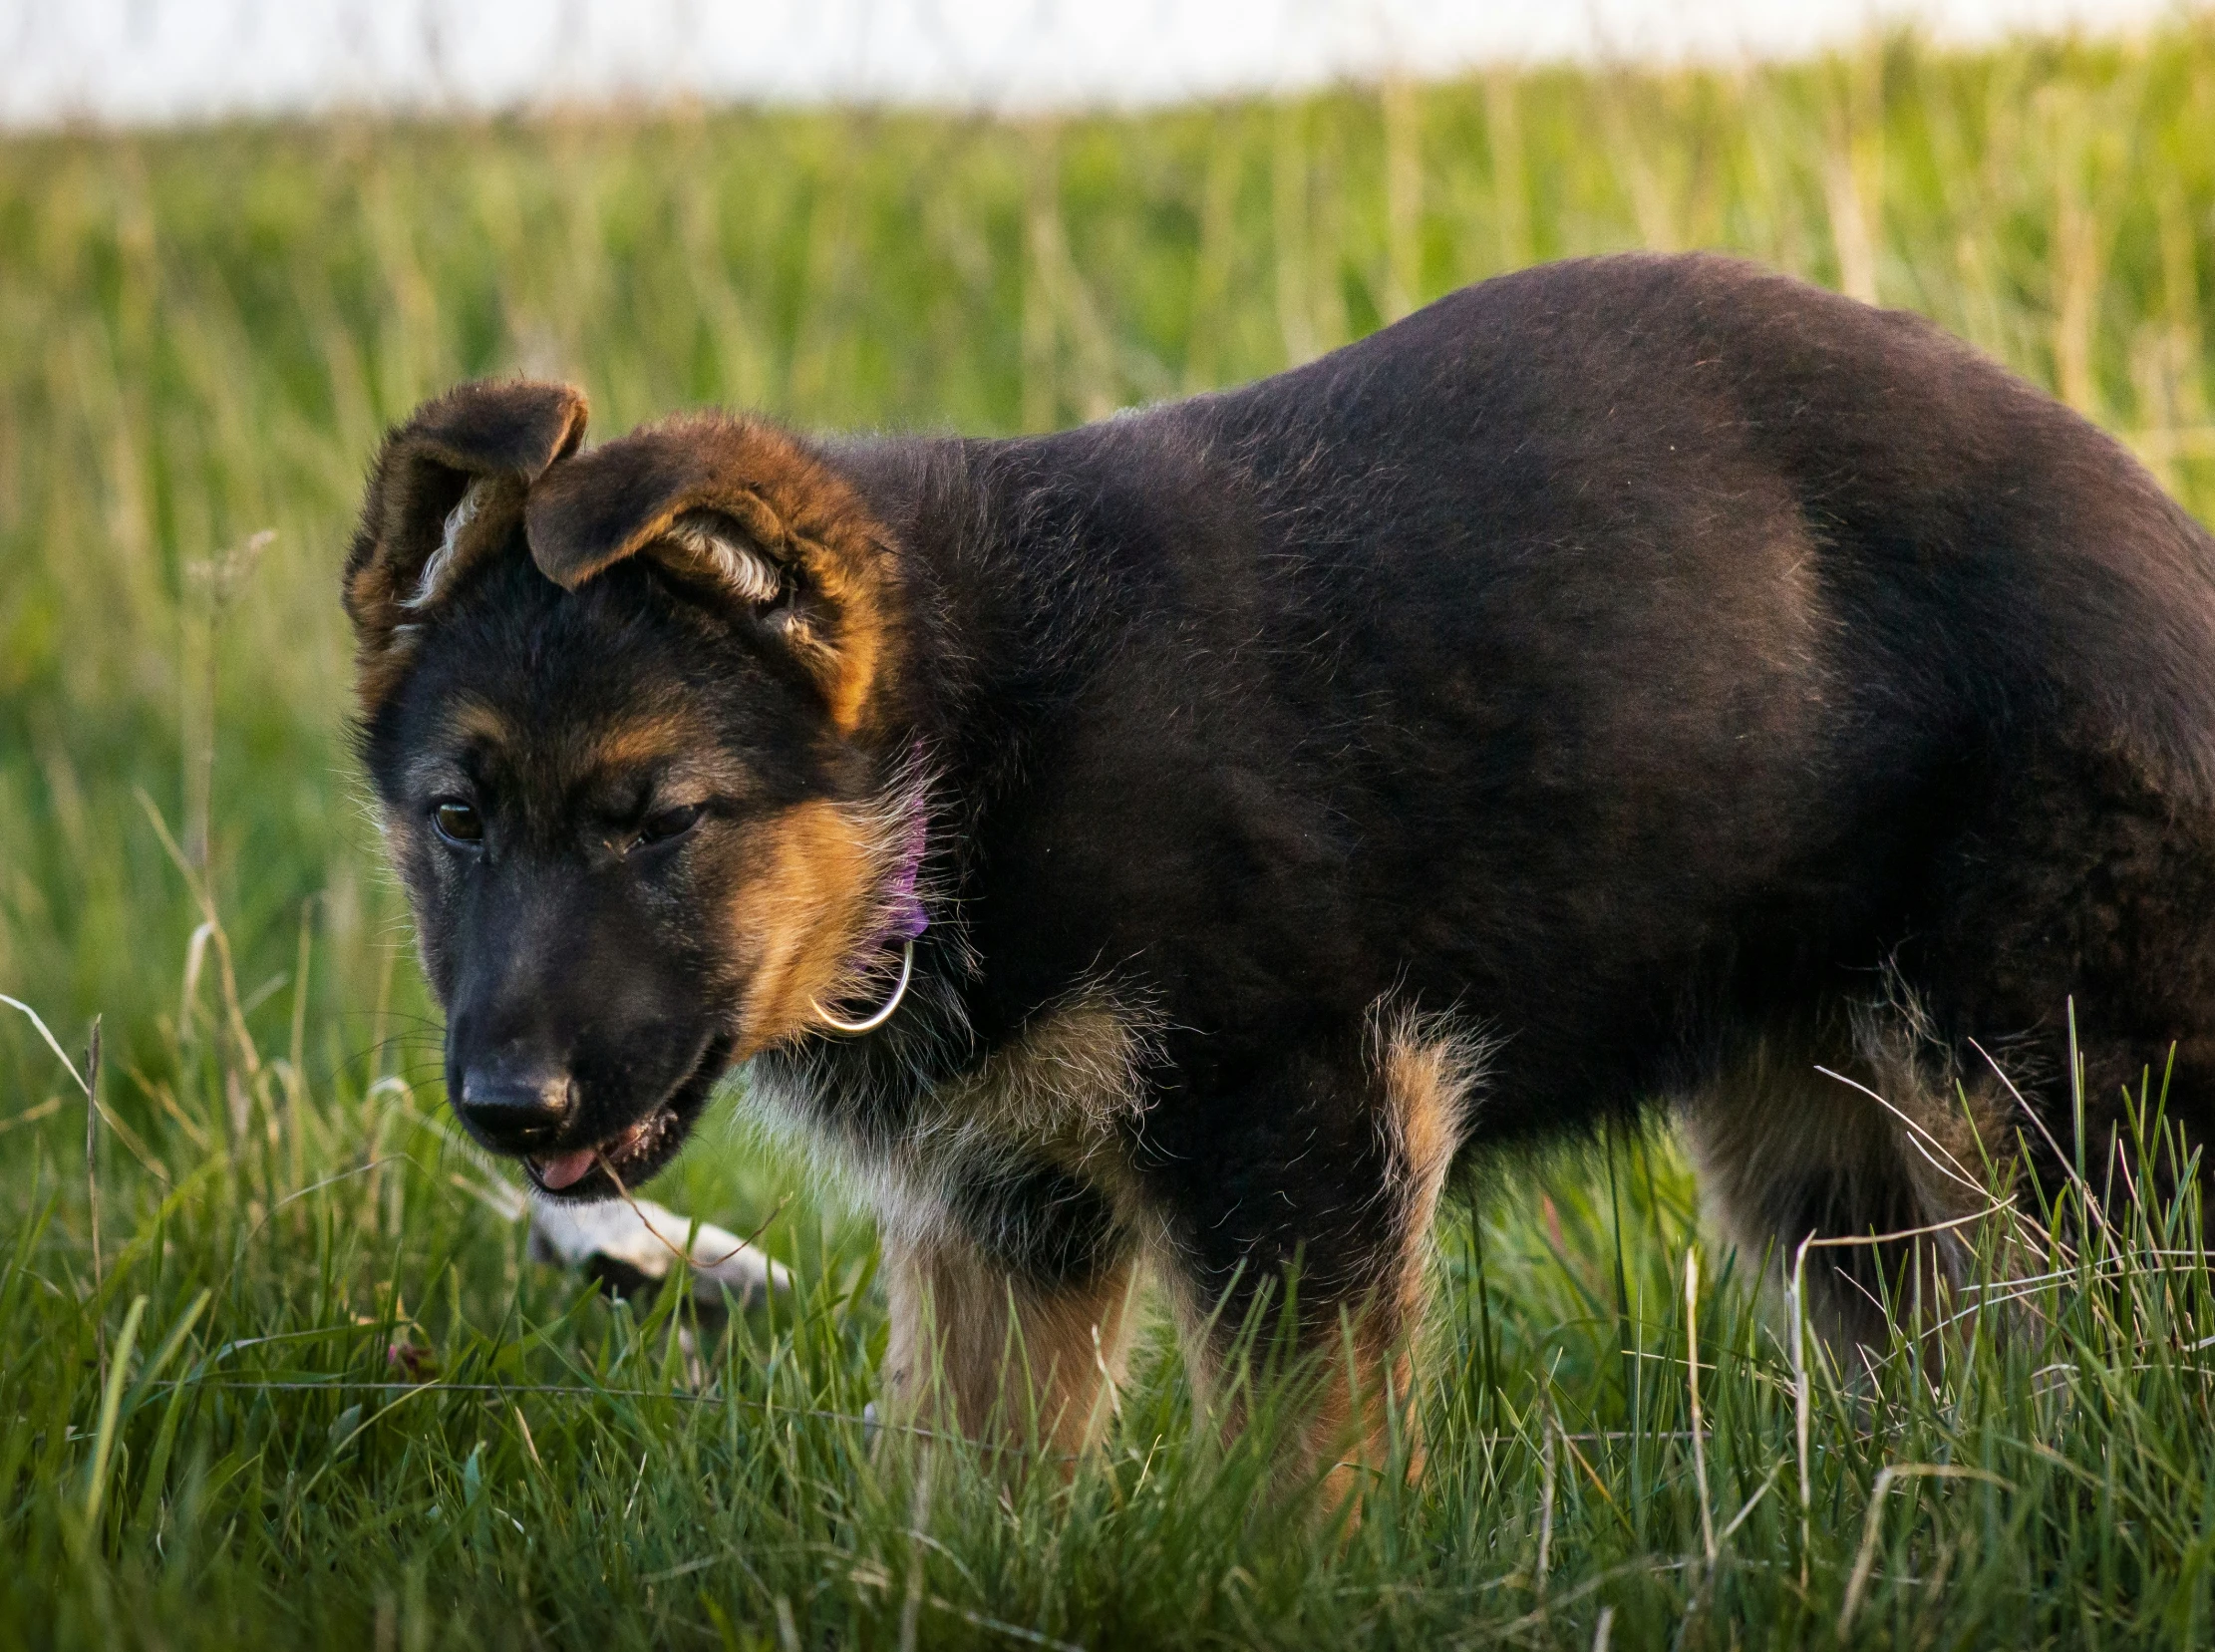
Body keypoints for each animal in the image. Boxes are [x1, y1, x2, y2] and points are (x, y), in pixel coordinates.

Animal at [345, 254, 2215, 1479]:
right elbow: (953, 1492)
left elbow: (1291, 1484)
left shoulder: (1294, 1135)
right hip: (1824, 1137)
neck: (958, 763)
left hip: (2044, 1087)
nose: (505, 1110)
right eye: (456, 821)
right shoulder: (1001, 1211)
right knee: (1923, 1351)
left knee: (2116, 1342)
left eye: (661, 823)